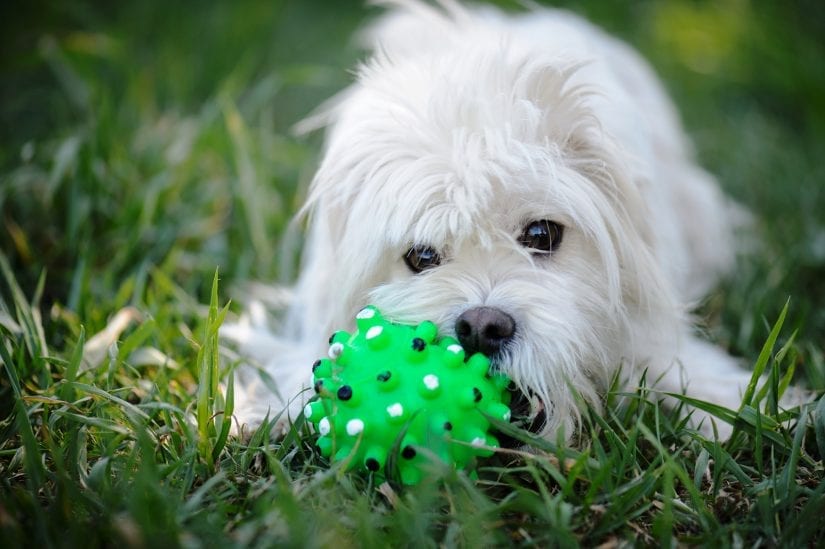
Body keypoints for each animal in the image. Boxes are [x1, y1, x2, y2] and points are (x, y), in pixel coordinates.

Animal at [224, 0, 760, 440]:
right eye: (421, 256)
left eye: (541, 234)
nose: (482, 327)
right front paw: (264, 408)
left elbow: (667, 362)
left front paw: (722, 405)